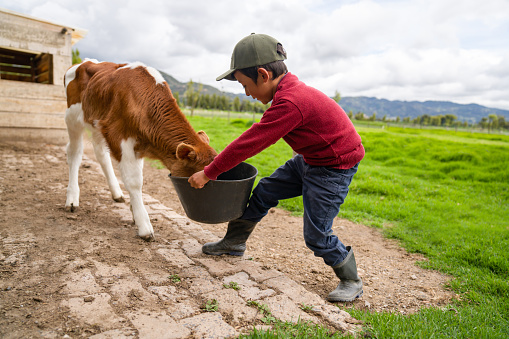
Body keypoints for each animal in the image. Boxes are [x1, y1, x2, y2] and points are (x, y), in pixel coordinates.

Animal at [63, 60, 214, 242]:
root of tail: (86, 61)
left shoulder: (139, 145)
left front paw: (134, 210)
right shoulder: (119, 136)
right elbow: (134, 181)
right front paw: (143, 224)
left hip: (97, 125)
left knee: (101, 154)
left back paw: (116, 193)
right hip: (73, 119)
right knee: (74, 153)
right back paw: (72, 198)